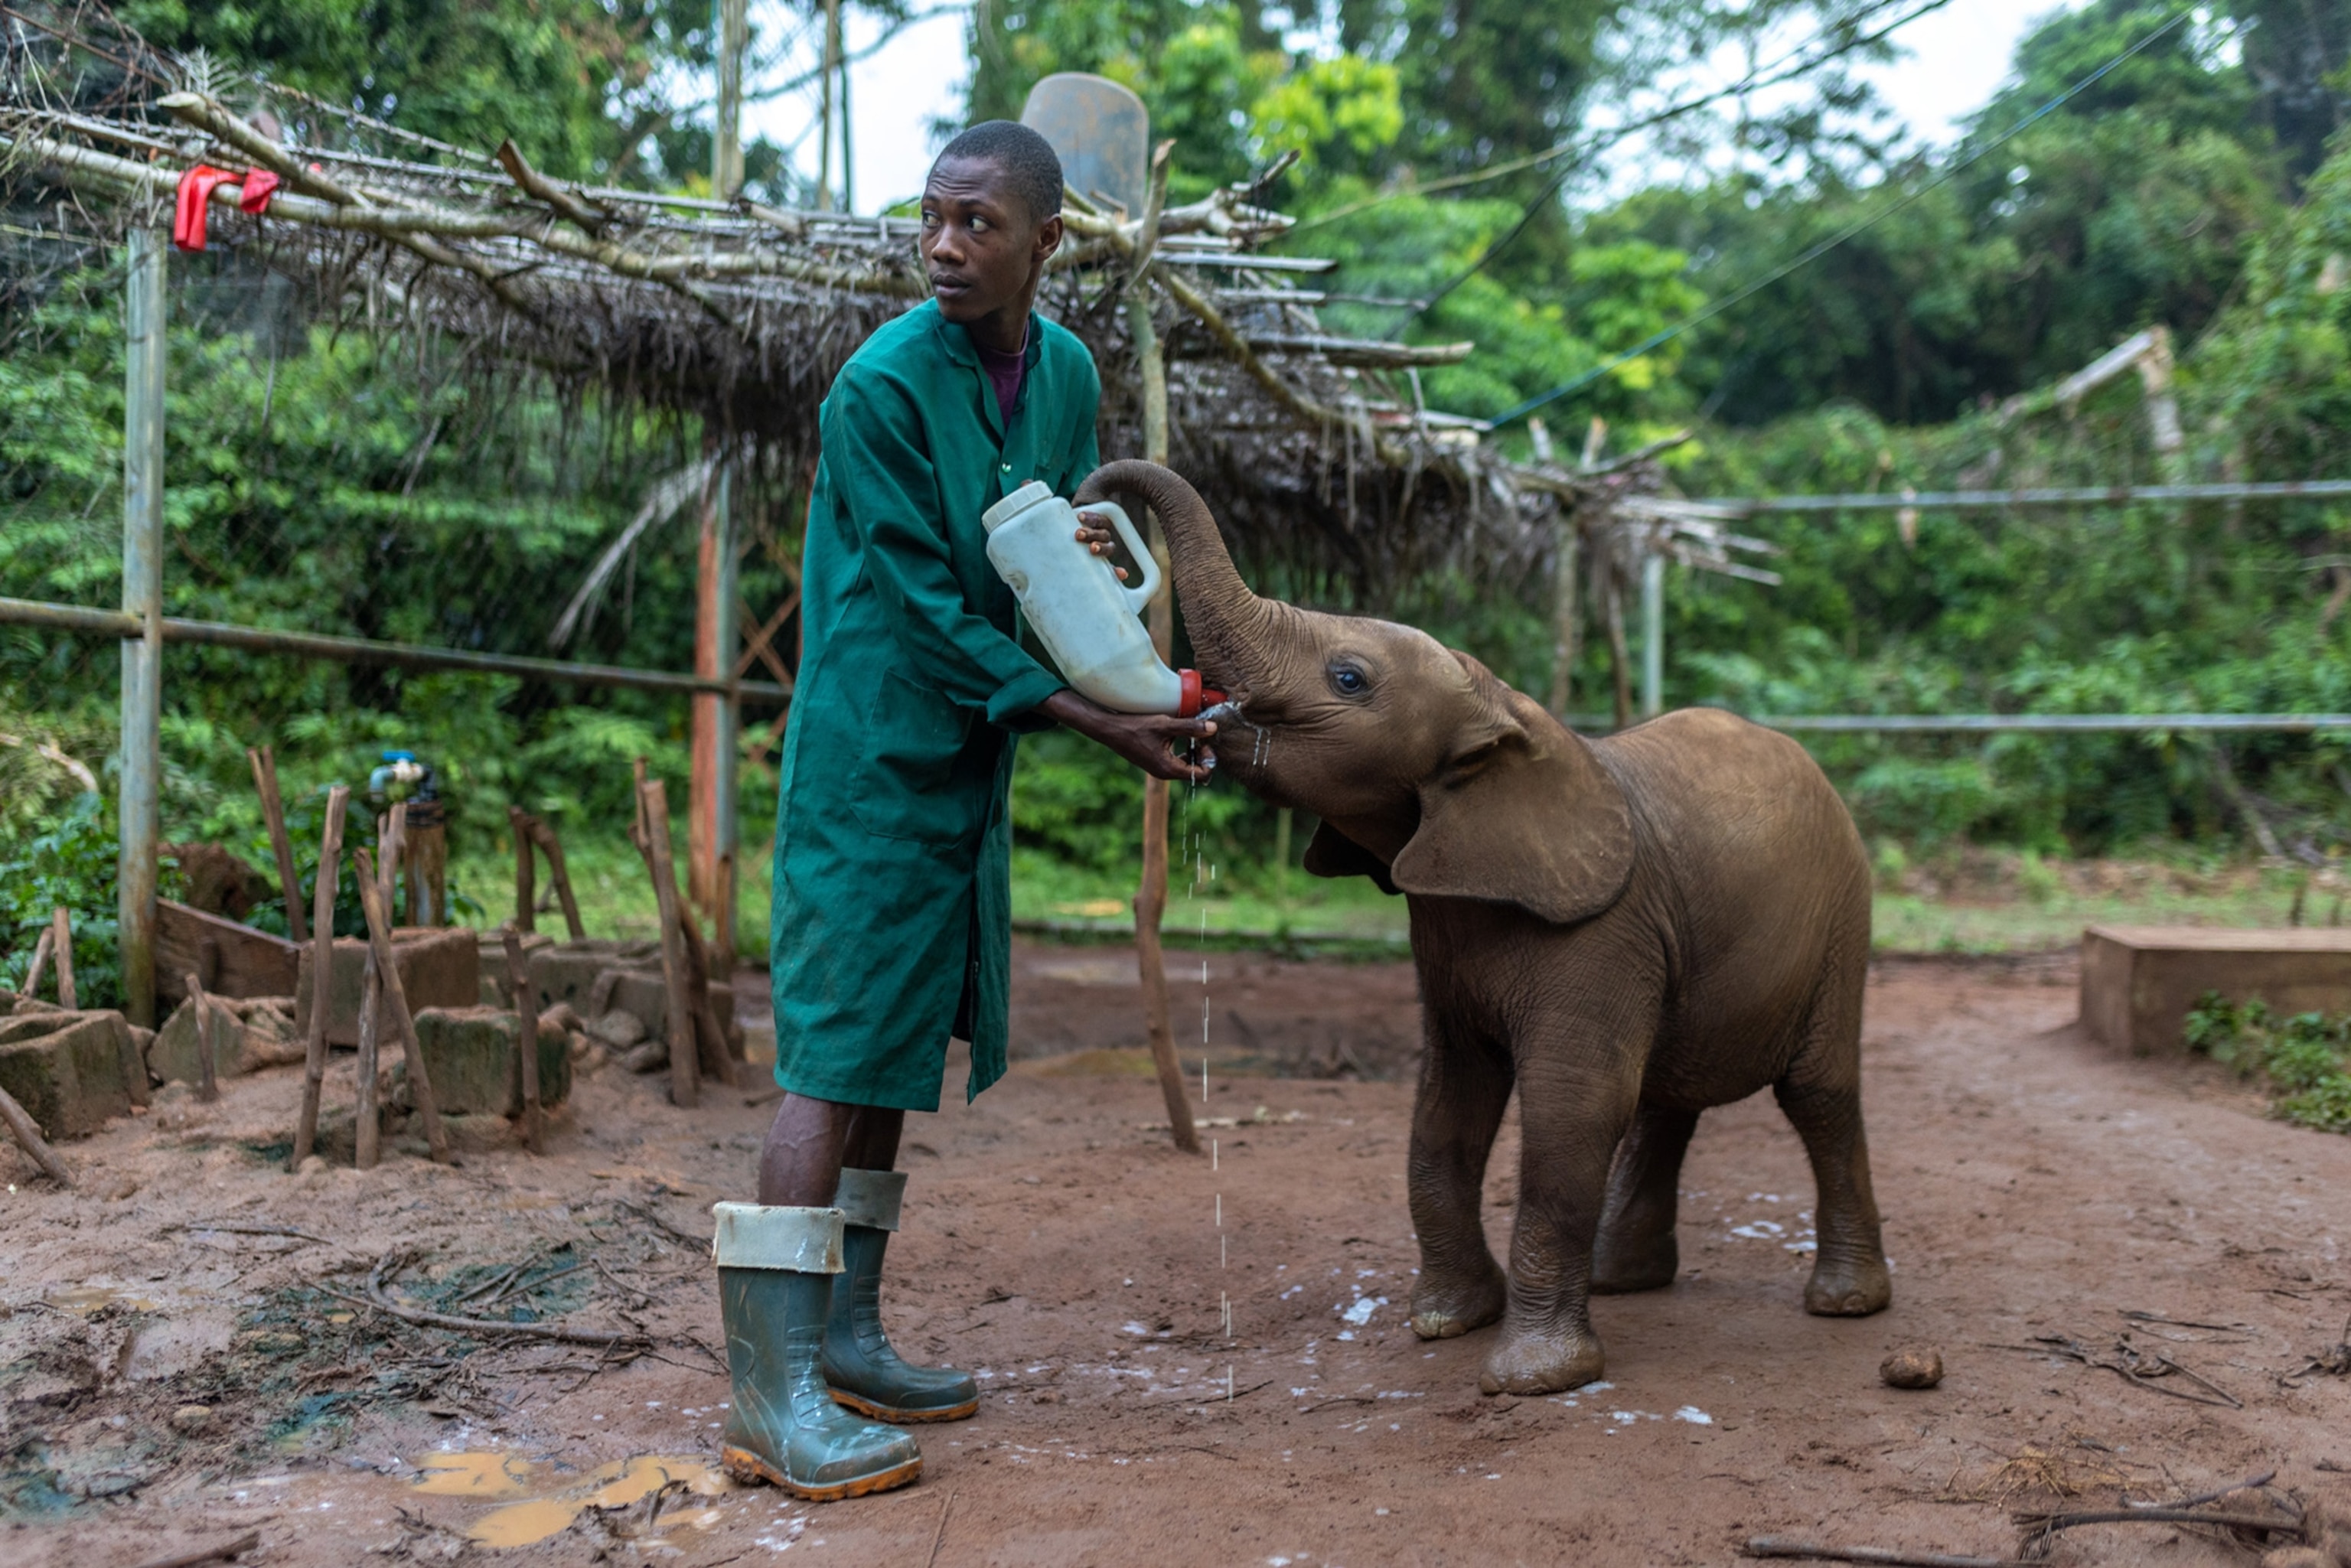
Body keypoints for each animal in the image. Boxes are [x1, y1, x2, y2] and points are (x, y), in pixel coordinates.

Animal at [1073, 460, 1892, 1396]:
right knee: (1666, 1097)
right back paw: (1624, 1280)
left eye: (1349, 680)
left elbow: (1572, 1114)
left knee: (1815, 1092)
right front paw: (1445, 1323)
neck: (1501, 709)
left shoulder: (1603, 930)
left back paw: (1844, 1304)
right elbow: (1444, 1112)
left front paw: (1533, 1377)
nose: (1088, 495)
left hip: (1844, 916)